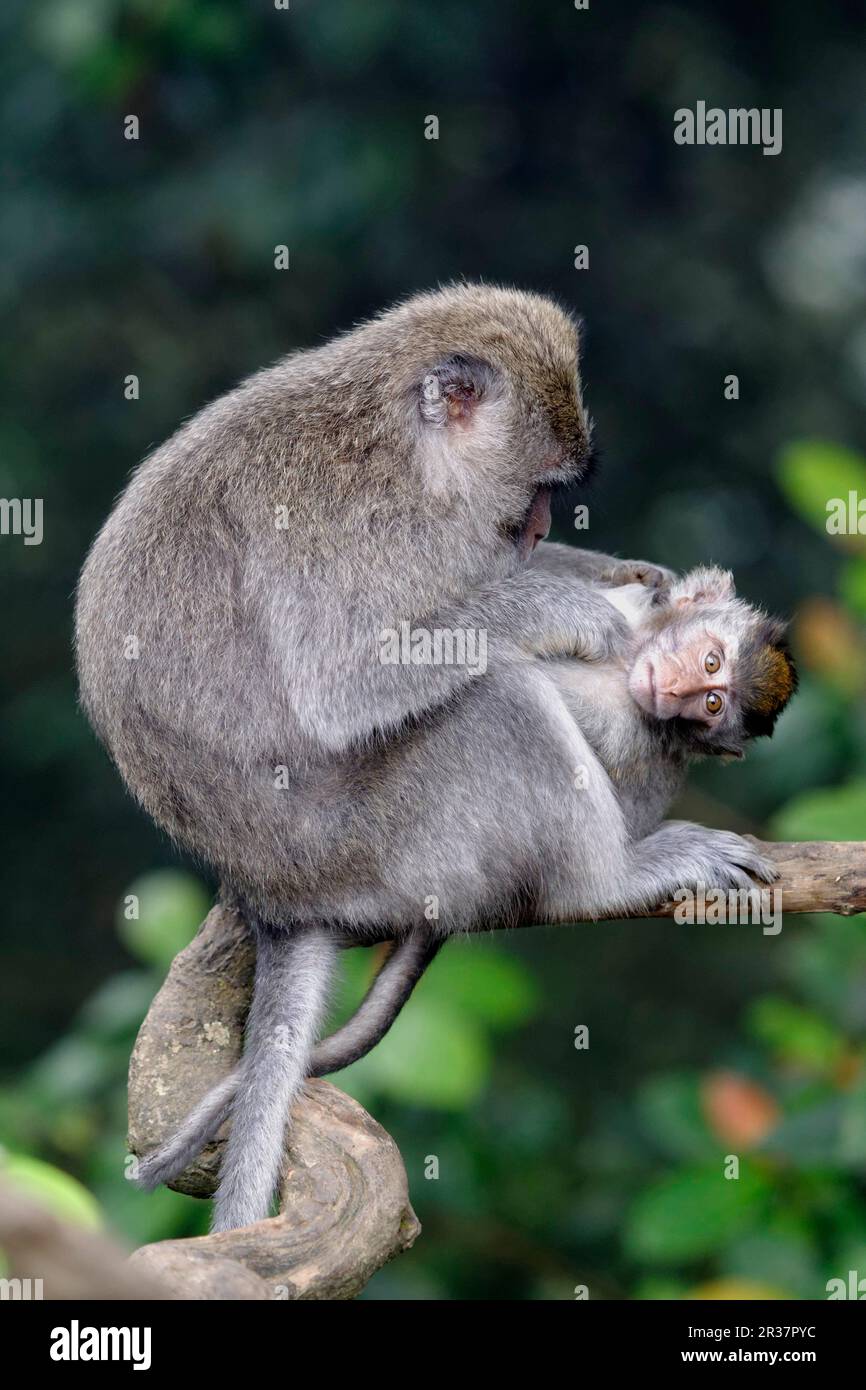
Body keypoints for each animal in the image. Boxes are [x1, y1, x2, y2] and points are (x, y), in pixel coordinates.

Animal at [74, 282, 785, 1232]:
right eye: (539, 485)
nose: (538, 529)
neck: (402, 449)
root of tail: (276, 895)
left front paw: (633, 576)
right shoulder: (348, 526)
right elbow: (345, 681)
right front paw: (574, 606)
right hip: (385, 841)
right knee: (498, 698)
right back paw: (605, 881)